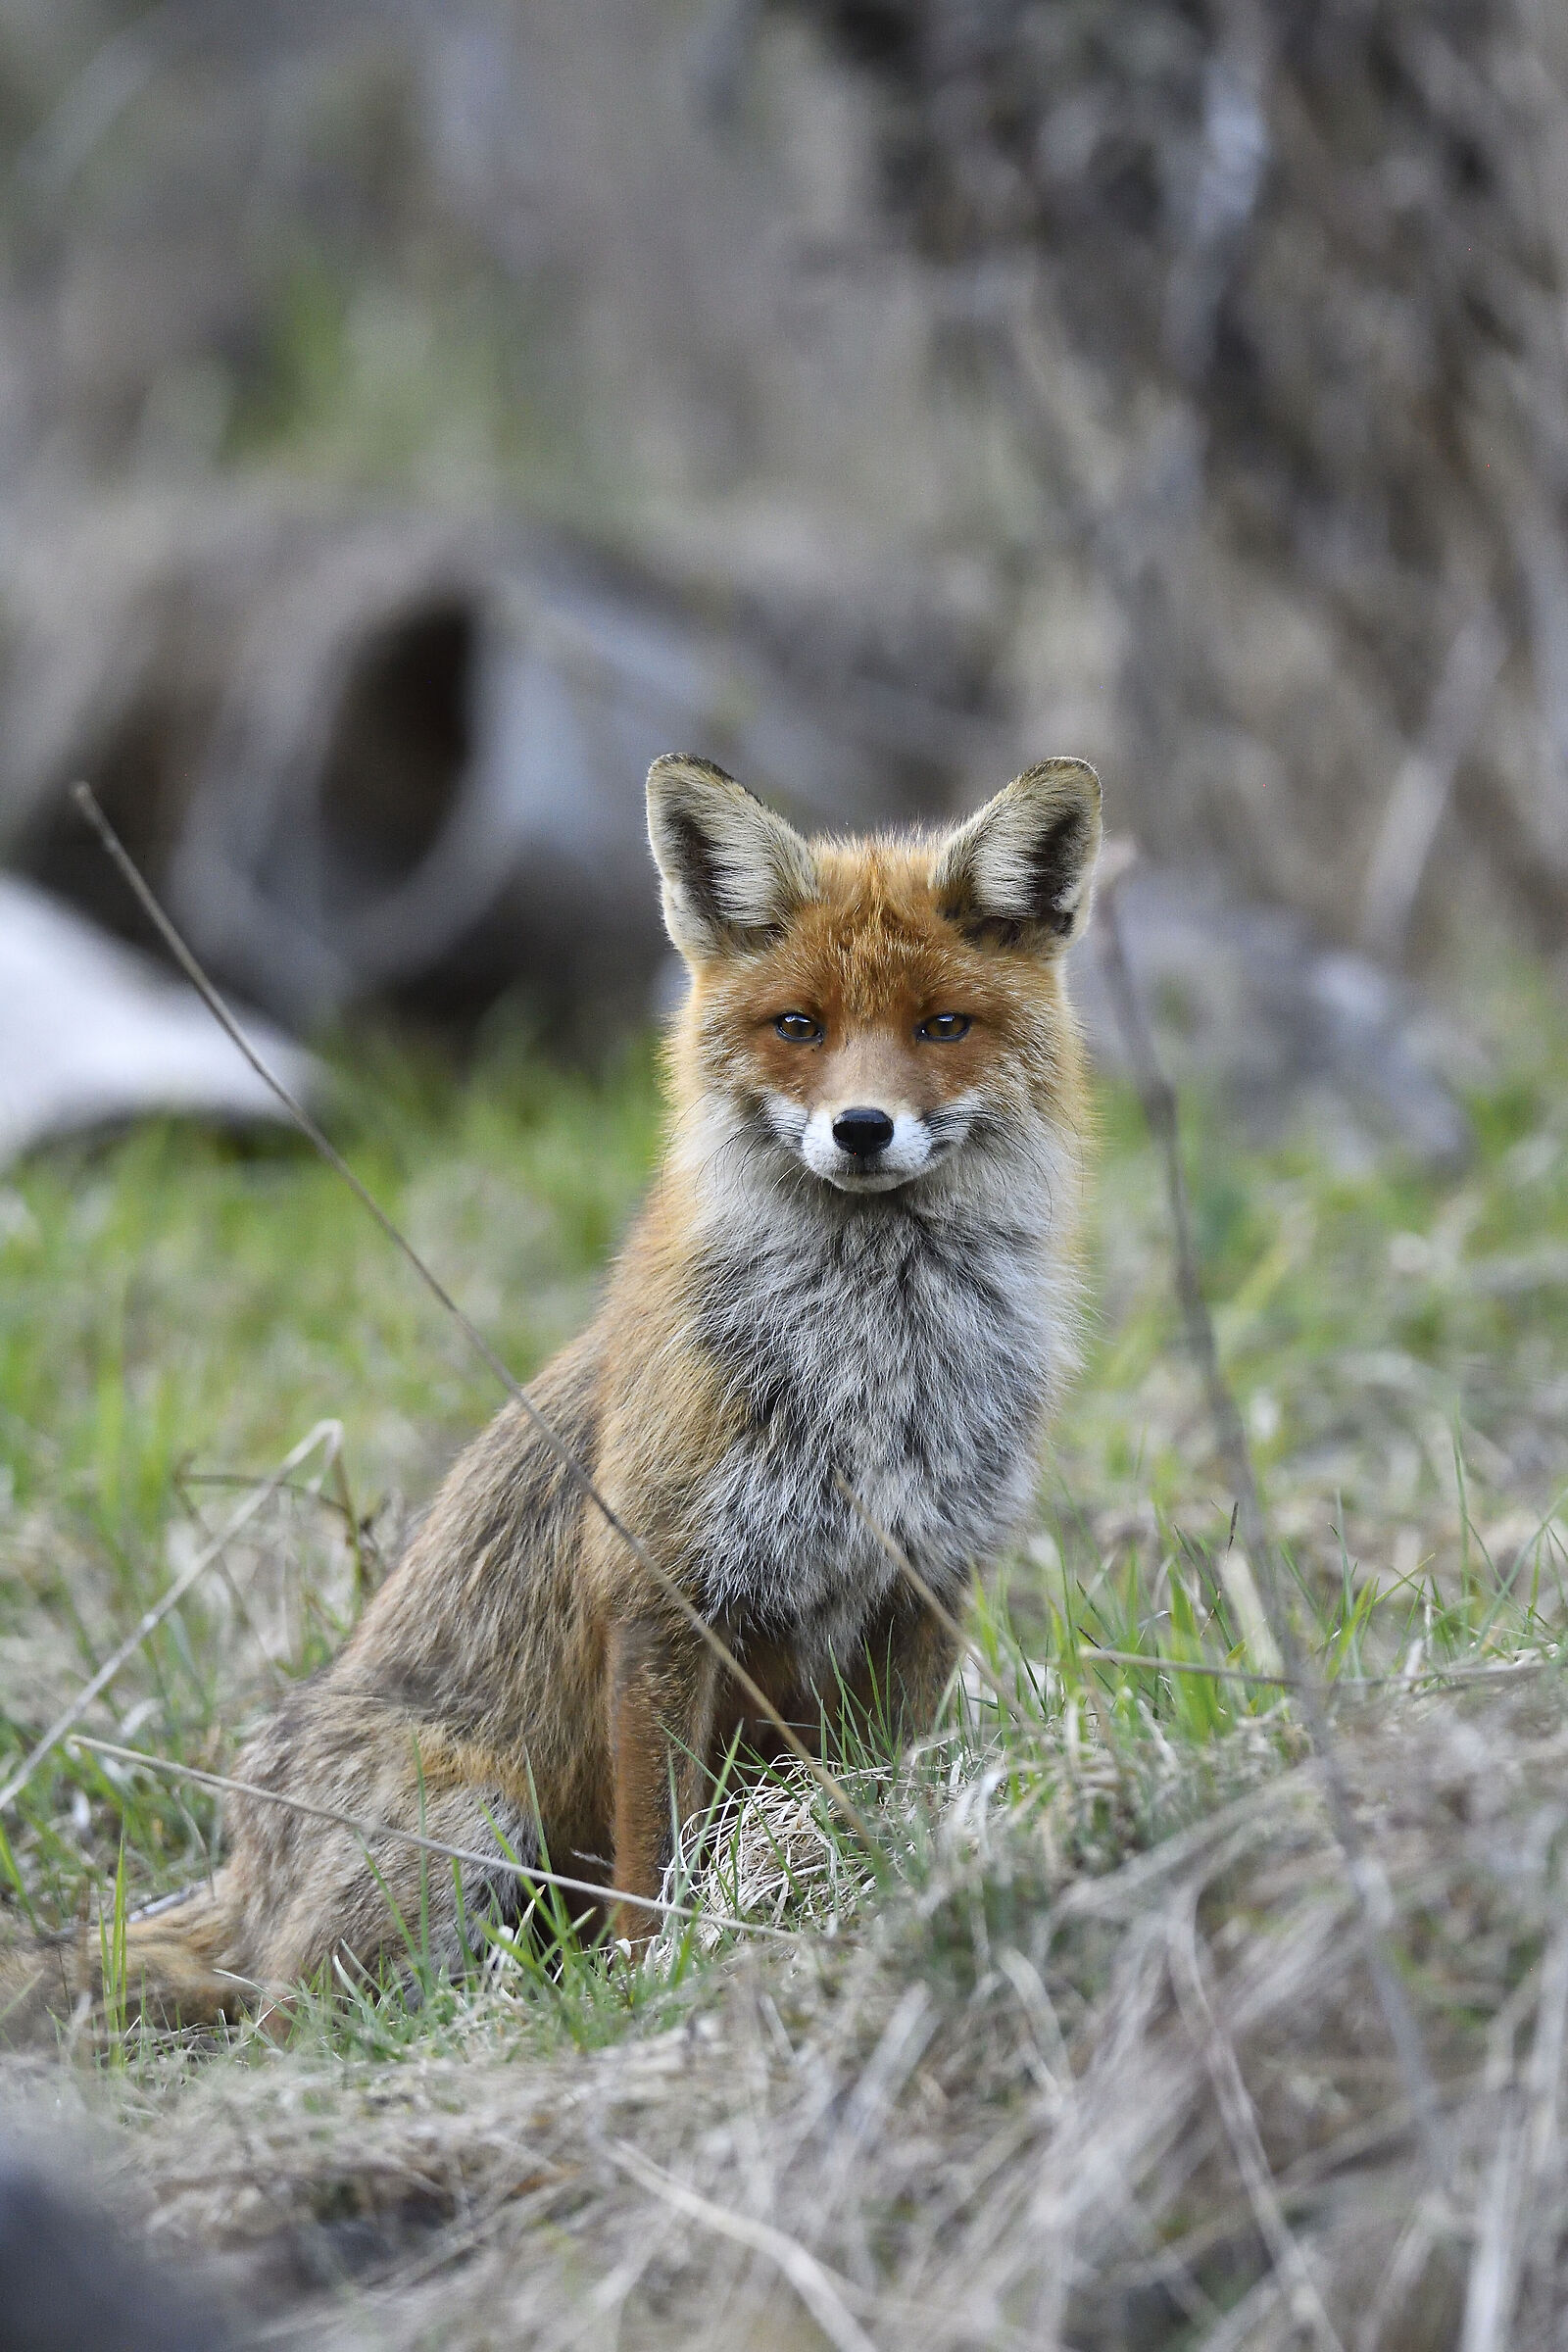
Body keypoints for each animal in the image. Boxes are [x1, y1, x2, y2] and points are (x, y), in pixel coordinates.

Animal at [6, 751, 1101, 2029]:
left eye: (941, 1026)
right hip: (473, 1822)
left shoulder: (925, 1584)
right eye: (800, 1026)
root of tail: (239, 1867)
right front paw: (654, 1982)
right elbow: (652, 1855)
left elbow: (877, 1785)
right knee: (294, 2015)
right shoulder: (660, 1591)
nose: (863, 1128)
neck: (875, 1367)